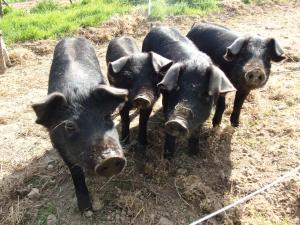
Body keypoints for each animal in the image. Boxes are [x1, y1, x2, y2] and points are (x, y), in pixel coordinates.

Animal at [32, 37, 128, 214]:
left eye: (107, 115)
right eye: (70, 126)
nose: (110, 159)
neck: (76, 92)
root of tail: (71, 37)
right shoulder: (58, 145)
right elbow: (75, 171)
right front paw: (85, 209)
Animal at [143, 26, 237, 158]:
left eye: (205, 94)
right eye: (177, 88)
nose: (177, 121)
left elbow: (197, 131)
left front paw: (194, 154)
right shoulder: (167, 103)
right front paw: (168, 157)